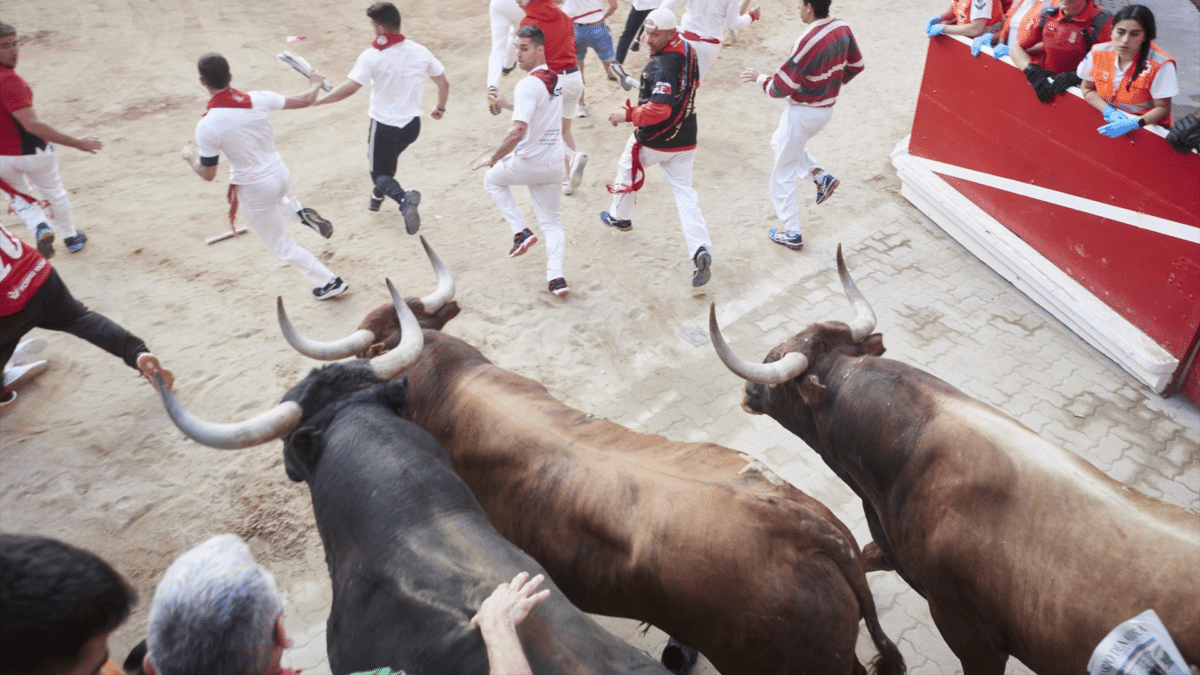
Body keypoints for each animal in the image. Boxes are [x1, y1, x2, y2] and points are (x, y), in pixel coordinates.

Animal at [705, 246, 1195, 672]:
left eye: (773, 360)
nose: (747, 391)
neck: (909, 456)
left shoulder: (970, 635)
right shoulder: (892, 551)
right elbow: (864, 556)